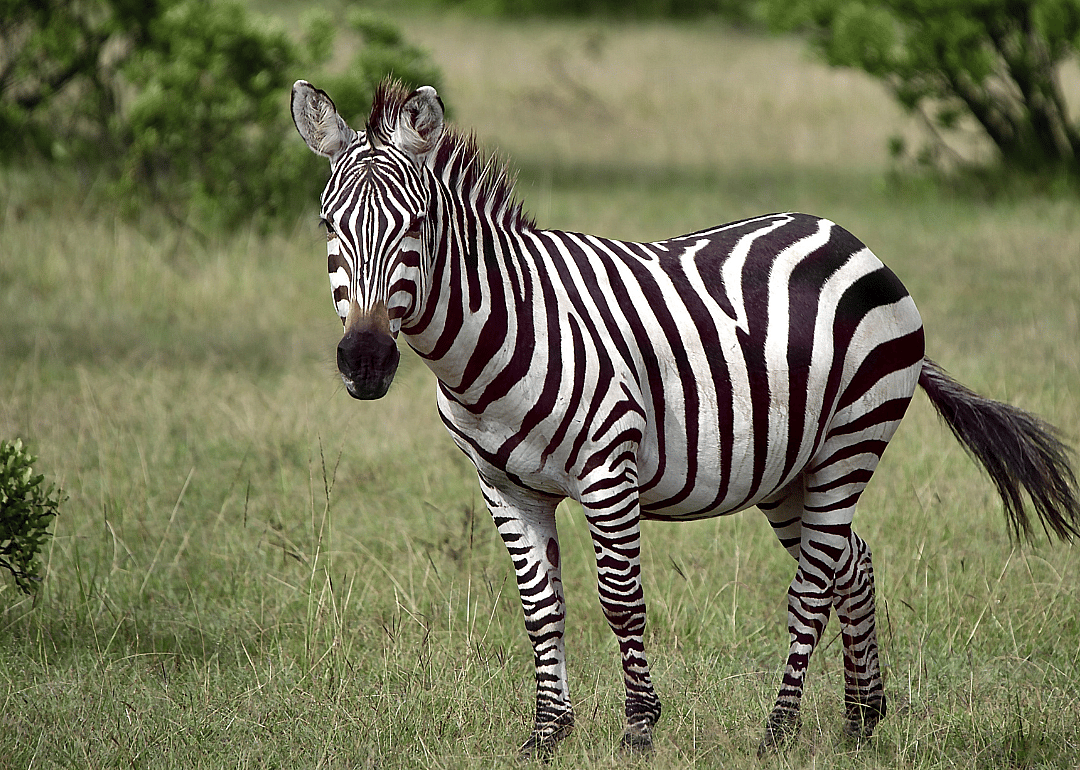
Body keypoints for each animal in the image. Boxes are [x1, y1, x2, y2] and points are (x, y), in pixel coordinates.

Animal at [290, 78, 1080, 757]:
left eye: (417, 225)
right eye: (328, 224)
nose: (365, 362)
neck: (500, 329)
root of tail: (849, 238)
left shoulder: (608, 468)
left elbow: (621, 602)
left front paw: (639, 729)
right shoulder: (504, 486)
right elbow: (540, 608)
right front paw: (547, 735)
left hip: (850, 442)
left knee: (813, 585)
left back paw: (778, 731)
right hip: (787, 468)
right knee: (850, 563)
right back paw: (861, 720)